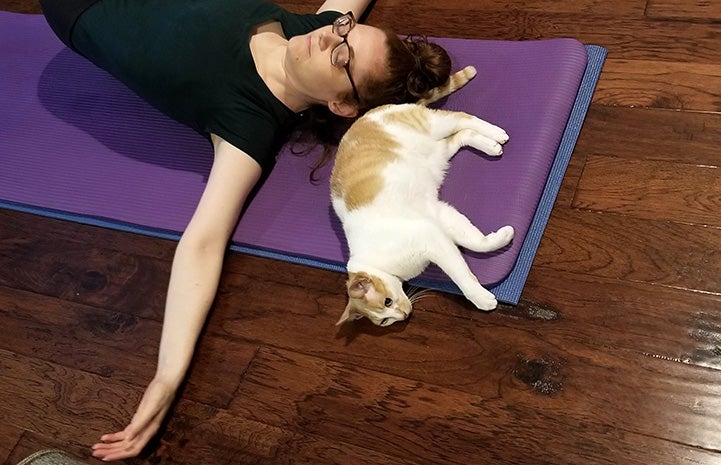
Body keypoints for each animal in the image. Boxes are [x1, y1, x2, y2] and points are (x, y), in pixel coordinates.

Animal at [330, 66, 512, 326]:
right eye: (384, 321)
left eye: (387, 302)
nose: (404, 316)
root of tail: (369, 113)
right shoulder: (438, 217)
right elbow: (475, 241)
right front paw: (501, 238)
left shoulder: (430, 237)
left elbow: (461, 274)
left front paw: (480, 298)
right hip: (438, 154)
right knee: (463, 134)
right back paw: (491, 145)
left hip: (433, 126)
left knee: (463, 117)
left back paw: (496, 133)